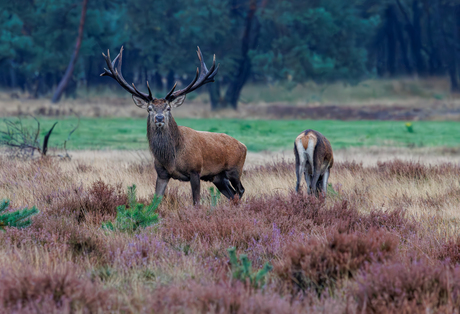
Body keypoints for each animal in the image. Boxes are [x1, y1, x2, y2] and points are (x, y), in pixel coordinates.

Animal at [99, 46, 246, 204]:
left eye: (168, 108)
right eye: (149, 108)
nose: (159, 118)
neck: (171, 158)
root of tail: (243, 146)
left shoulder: (195, 170)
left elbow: (196, 202)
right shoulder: (162, 173)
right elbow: (155, 201)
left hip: (234, 170)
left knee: (240, 190)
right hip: (218, 177)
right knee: (232, 194)